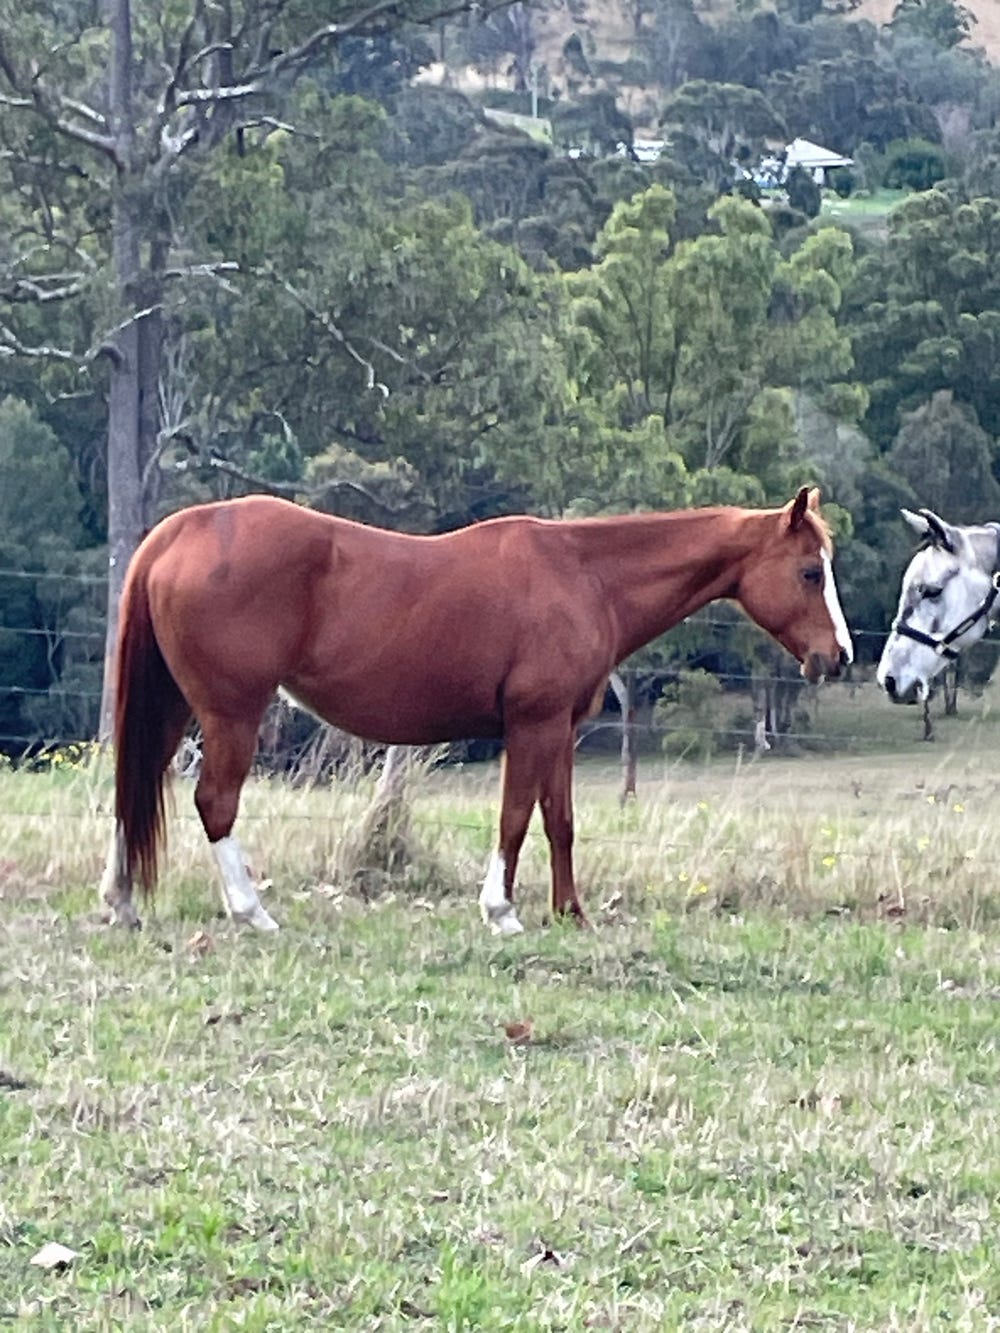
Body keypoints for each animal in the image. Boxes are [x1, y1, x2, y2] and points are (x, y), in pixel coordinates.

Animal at [99, 486, 853, 935]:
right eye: (809, 571)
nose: (838, 656)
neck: (585, 574)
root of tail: (180, 531)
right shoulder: (533, 724)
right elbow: (515, 818)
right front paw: (501, 911)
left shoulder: (561, 731)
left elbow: (560, 823)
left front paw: (570, 912)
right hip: (232, 713)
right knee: (215, 802)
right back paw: (252, 912)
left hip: (175, 708)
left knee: (134, 789)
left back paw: (122, 899)